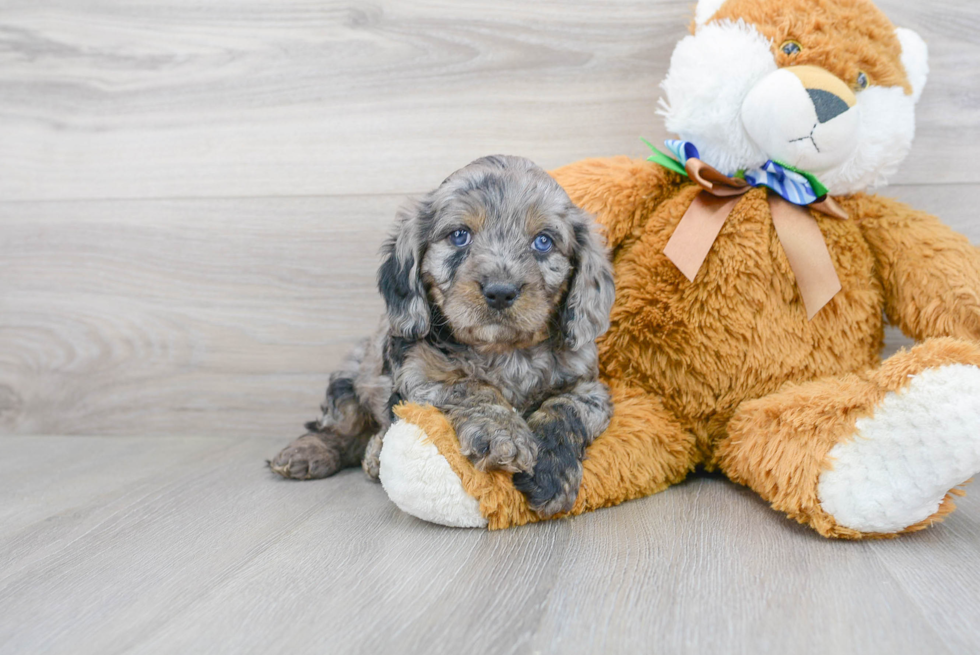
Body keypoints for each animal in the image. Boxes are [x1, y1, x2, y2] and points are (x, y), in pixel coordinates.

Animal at [268, 155, 616, 516]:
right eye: (459, 235)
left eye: (543, 241)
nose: (500, 292)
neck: (503, 350)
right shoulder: (420, 372)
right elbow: (471, 387)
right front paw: (503, 436)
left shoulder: (589, 387)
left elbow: (565, 409)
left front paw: (550, 472)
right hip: (349, 380)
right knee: (340, 429)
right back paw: (310, 453)